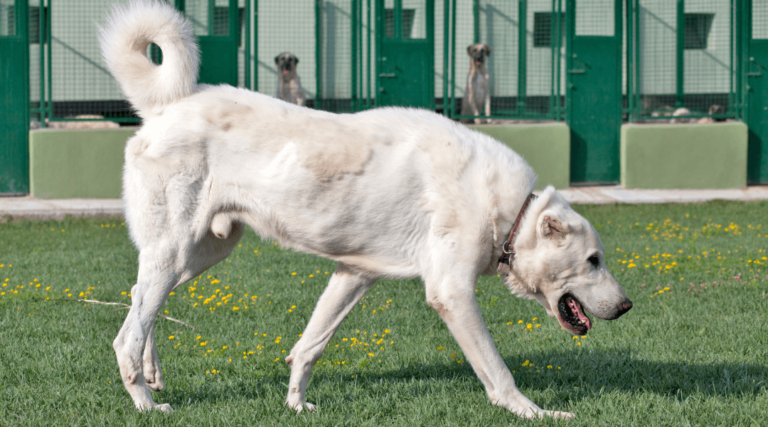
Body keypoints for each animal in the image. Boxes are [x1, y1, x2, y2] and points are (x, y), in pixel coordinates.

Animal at [99, 1, 632, 420]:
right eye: (593, 261)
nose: (627, 306)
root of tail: (164, 107)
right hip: (176, 251)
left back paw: (153, 372)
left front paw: (296, 403)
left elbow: (309, 346)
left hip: (201, 252)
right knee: (127, 335)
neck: (507, 211)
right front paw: (536, 412)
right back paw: (146, 402)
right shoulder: (452, 294)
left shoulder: (353, 275)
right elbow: (497, 372)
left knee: (140, 298)